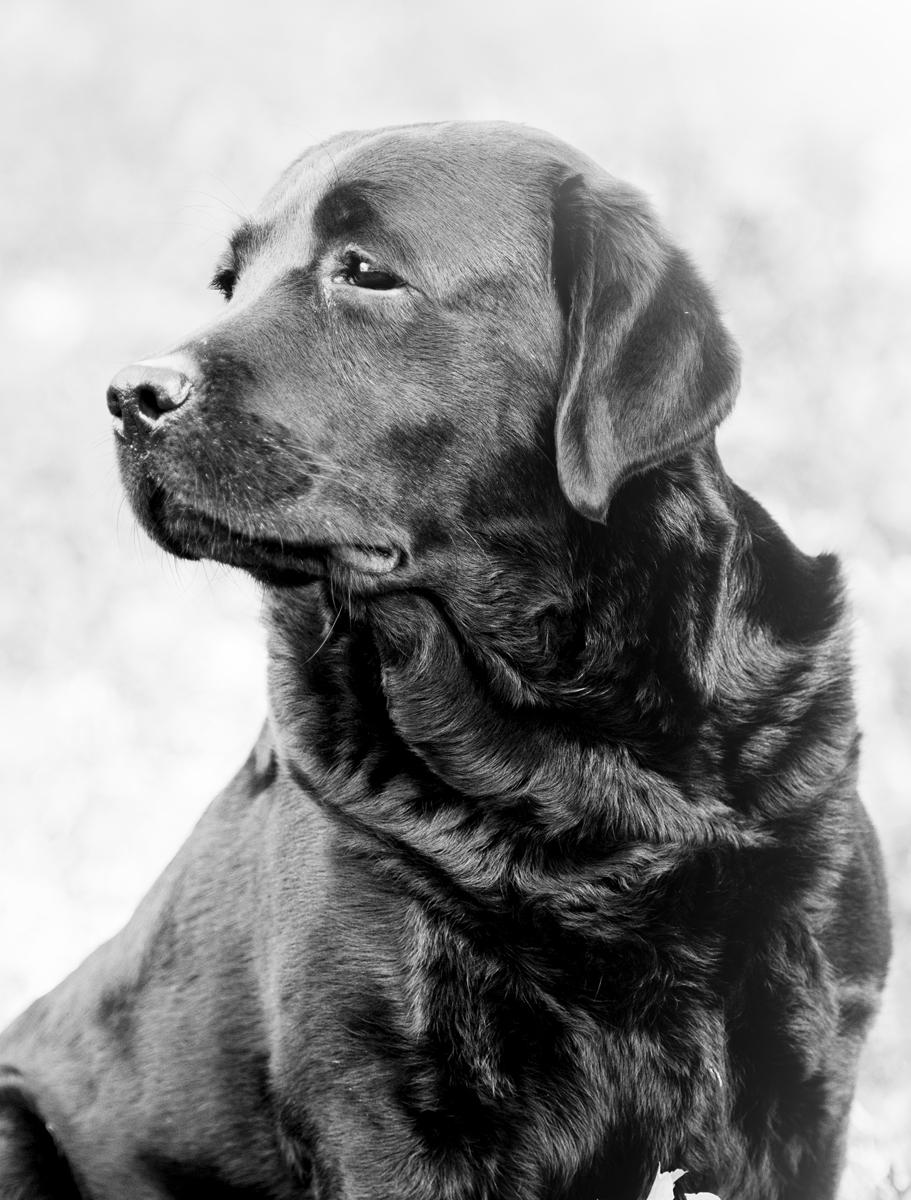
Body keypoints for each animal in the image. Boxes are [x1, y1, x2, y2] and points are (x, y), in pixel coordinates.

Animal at [0, 122, 891, 1200]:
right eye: (229, 282)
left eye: (366, 271)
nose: (129, 394)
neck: (571, 744)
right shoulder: (385, 1103)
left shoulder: (801, 1084)